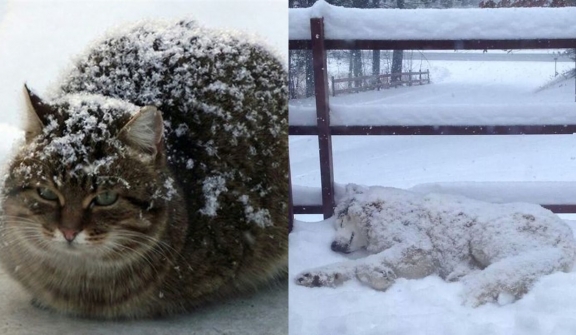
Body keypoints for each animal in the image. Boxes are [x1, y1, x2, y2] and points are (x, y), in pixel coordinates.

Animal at [296, 185, 576, 306]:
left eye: (341, 220)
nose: (333, 245)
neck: (380, 214)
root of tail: (567, 240)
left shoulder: (420, 248)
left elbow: (365, 264)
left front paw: (380, 276)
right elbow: (350, 265)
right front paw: (317, 276)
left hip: (487, 233)